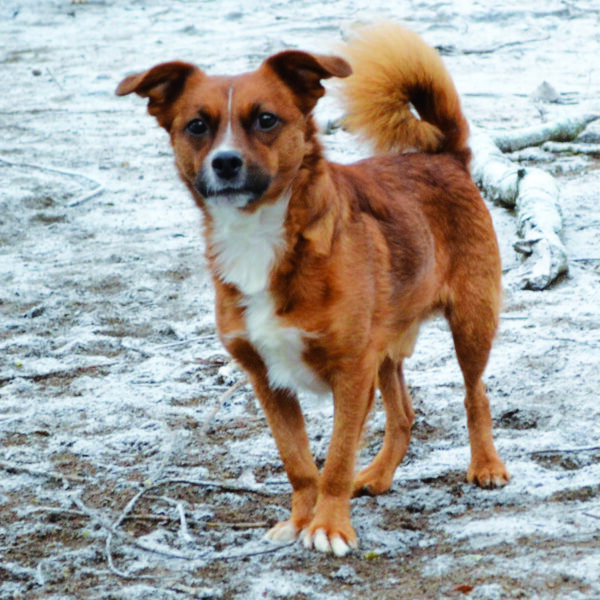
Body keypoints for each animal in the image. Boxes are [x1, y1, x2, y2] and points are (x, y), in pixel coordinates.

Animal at [118, 24, 510, 556]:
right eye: (197, 126)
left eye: (266, 119)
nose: (225, 163)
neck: (262, 234)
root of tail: (445, 157)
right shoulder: (267, 377)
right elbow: (299, 461)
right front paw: (301, 519)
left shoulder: (351, 370)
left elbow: (338, 458)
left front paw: (329, 526)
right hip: (385, 347)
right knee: (403, 414)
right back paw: (380, 474)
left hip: (471, 321)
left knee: (475, 395)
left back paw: (486, 465)